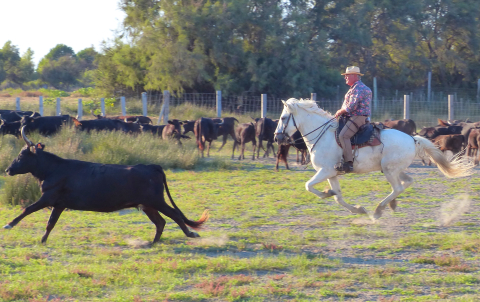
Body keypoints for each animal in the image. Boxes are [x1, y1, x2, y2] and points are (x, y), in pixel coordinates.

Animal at [2, 127, 208, 243]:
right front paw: (43, 240)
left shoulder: (47, 198)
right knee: (161, 222)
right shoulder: (59, 204)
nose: (8, 170)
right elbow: (50, 223)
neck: (53, 169)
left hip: (156, 201)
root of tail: (152, 166)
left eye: (21, 155)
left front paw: (8, 225)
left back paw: (190, 234)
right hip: (148, 205)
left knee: (174, 215)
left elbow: (27, 209)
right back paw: (153, 242)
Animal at [274, 98, 472, 218]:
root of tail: (413, 139)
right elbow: (338, 197)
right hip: (394, 169)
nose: (277, 137)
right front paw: (357, 209)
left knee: (398, 187)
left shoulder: (325, 171)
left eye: (283, 117)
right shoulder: (332, 173)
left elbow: (308, 186)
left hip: (390, 170)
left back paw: (379, 210)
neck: (324, 135)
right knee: (407, 182)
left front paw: (325, 193)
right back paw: (391, 204)